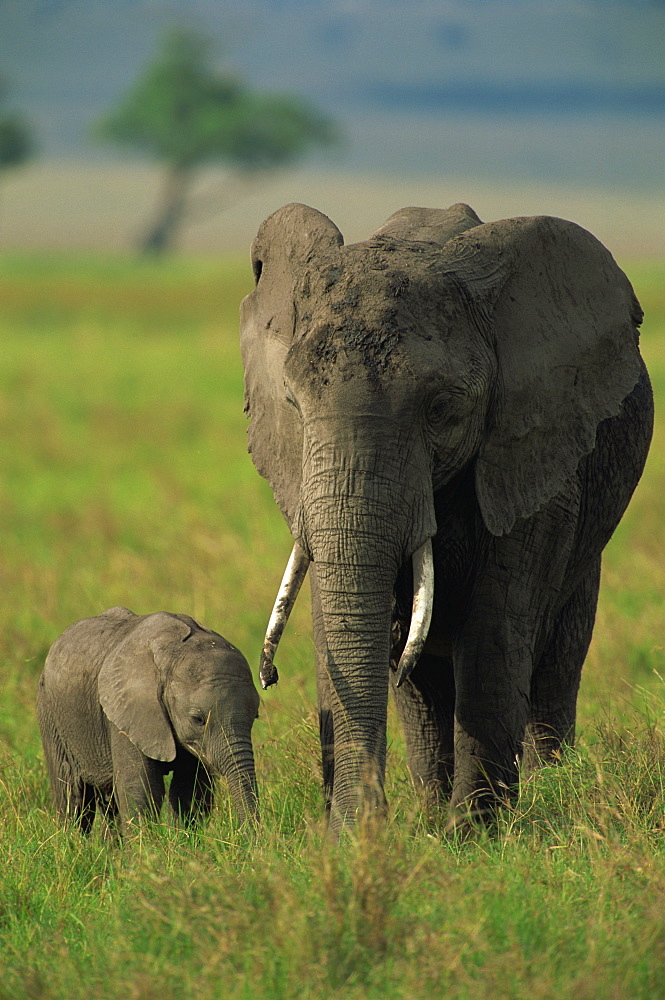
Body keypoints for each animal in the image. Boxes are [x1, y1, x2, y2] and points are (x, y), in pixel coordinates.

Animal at [35, 604, 260, 832]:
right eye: (197, 719)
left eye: (255, 716)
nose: (248, 836)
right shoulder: (127, 711)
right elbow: (140, 787)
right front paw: (145, 843)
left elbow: (190, 789)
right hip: (50, 713)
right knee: (72, 796)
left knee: (108, 801)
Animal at [237, 199, 648, 832]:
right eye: (292, 403)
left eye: (442, 409)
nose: (271, 677)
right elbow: (354, 627)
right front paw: (382, 839)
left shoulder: (534, 460)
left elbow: (494, 632)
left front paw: (476, 834)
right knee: (420, 682)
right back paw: (432, 815)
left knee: (557, 658)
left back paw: (548, 786)